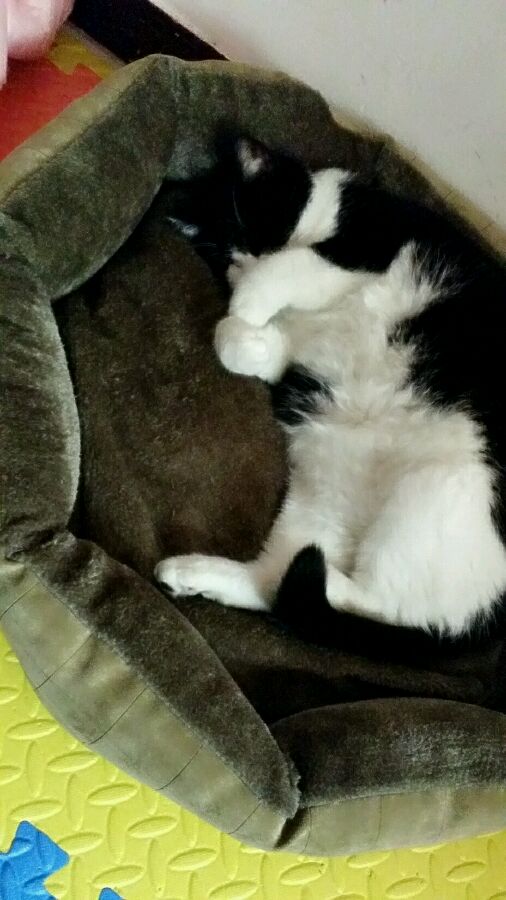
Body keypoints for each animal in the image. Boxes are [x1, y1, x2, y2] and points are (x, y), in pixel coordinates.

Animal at [155, 133, 506, 658]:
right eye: (224, 255)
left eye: (254, 231)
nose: (245, 263)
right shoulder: (294, 351)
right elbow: (239, 342)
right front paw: (244, 331)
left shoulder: (368, 242)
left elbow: (291, 266)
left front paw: (246, 305)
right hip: (317, 501)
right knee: (276, 583)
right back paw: (190, 572)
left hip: (439, 493)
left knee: (387, 606)